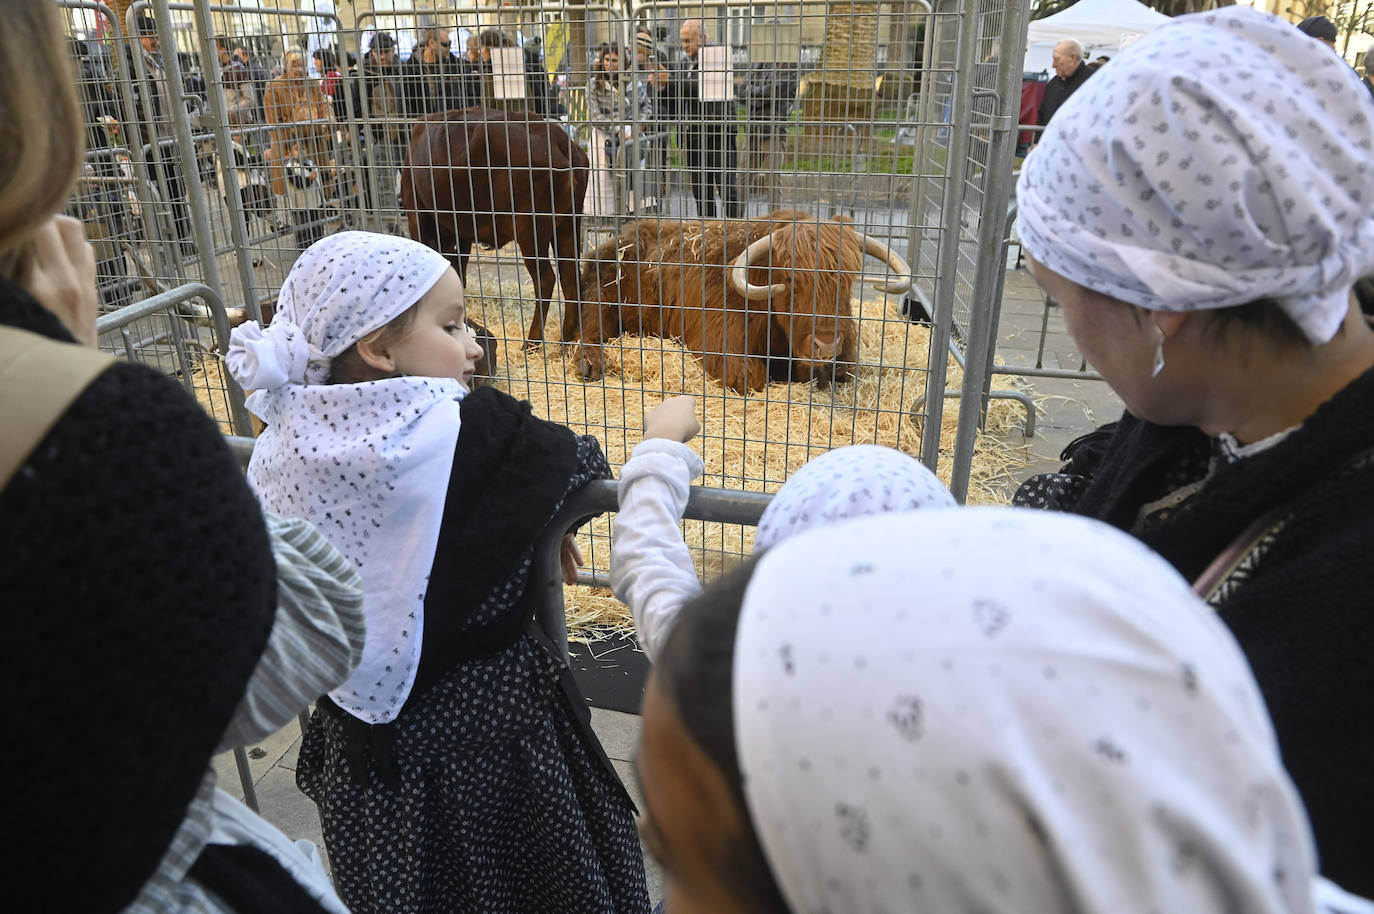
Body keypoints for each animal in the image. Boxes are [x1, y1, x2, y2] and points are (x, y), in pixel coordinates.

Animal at [401, 107, 588, 347]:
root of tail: (560, 140)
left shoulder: (418, 217)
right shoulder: (462, 234)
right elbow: (459, 274)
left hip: (531, 228)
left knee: (546, 279)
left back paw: (532, 342)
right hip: (567, 224)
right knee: (571, 277)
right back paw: (567, 340)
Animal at [566, 211, 912, 393]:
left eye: (849, 278)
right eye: (789, 278)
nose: (826, 345)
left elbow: (842, 371)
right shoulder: (720, 344)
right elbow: (751, 377)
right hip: (605, 295)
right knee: (589, 329)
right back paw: (589, 363)